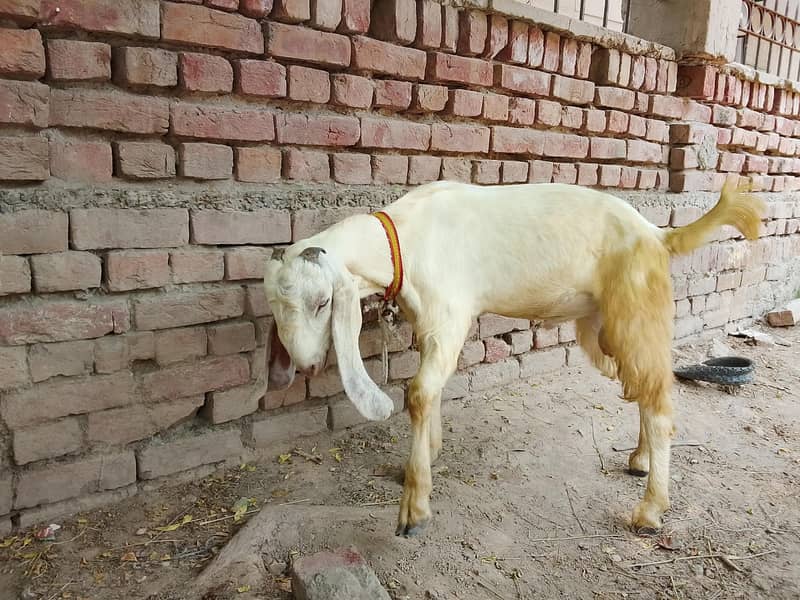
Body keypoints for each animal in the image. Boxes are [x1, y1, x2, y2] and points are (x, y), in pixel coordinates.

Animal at [263, 180, 764, 537]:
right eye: (275, 307)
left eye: (322, 303)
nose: (305, 366)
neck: (404, 239)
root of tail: (660, 236)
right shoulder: (428, 323)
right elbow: (433, 391)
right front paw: (424, 458)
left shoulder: (450, 314)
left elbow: (419, 393)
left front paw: (415, 508)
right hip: (604, 328)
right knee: (643, 388)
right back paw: (639, 459)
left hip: (637, 310)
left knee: (660, 404)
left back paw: (650, 510)